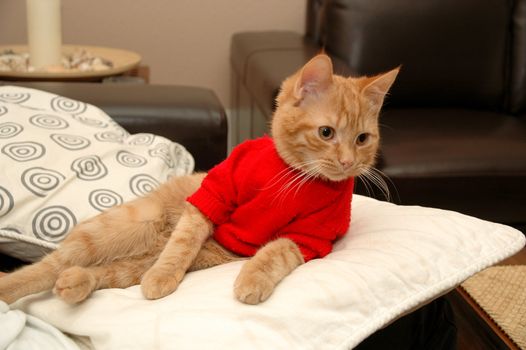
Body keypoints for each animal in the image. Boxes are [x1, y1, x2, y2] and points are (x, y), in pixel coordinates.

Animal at [0, 53, 398, 304]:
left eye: (363, 139)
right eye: (326, 133)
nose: (348, 162)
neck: (295, 174)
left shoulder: (310, 236)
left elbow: (277, 252)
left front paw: (253, 278)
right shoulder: (212, 195)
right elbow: (183, 242)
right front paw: (165, 275)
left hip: (169, 261)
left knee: (105, 273)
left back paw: (77, 283)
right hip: (116, 229)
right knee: (49, 265)